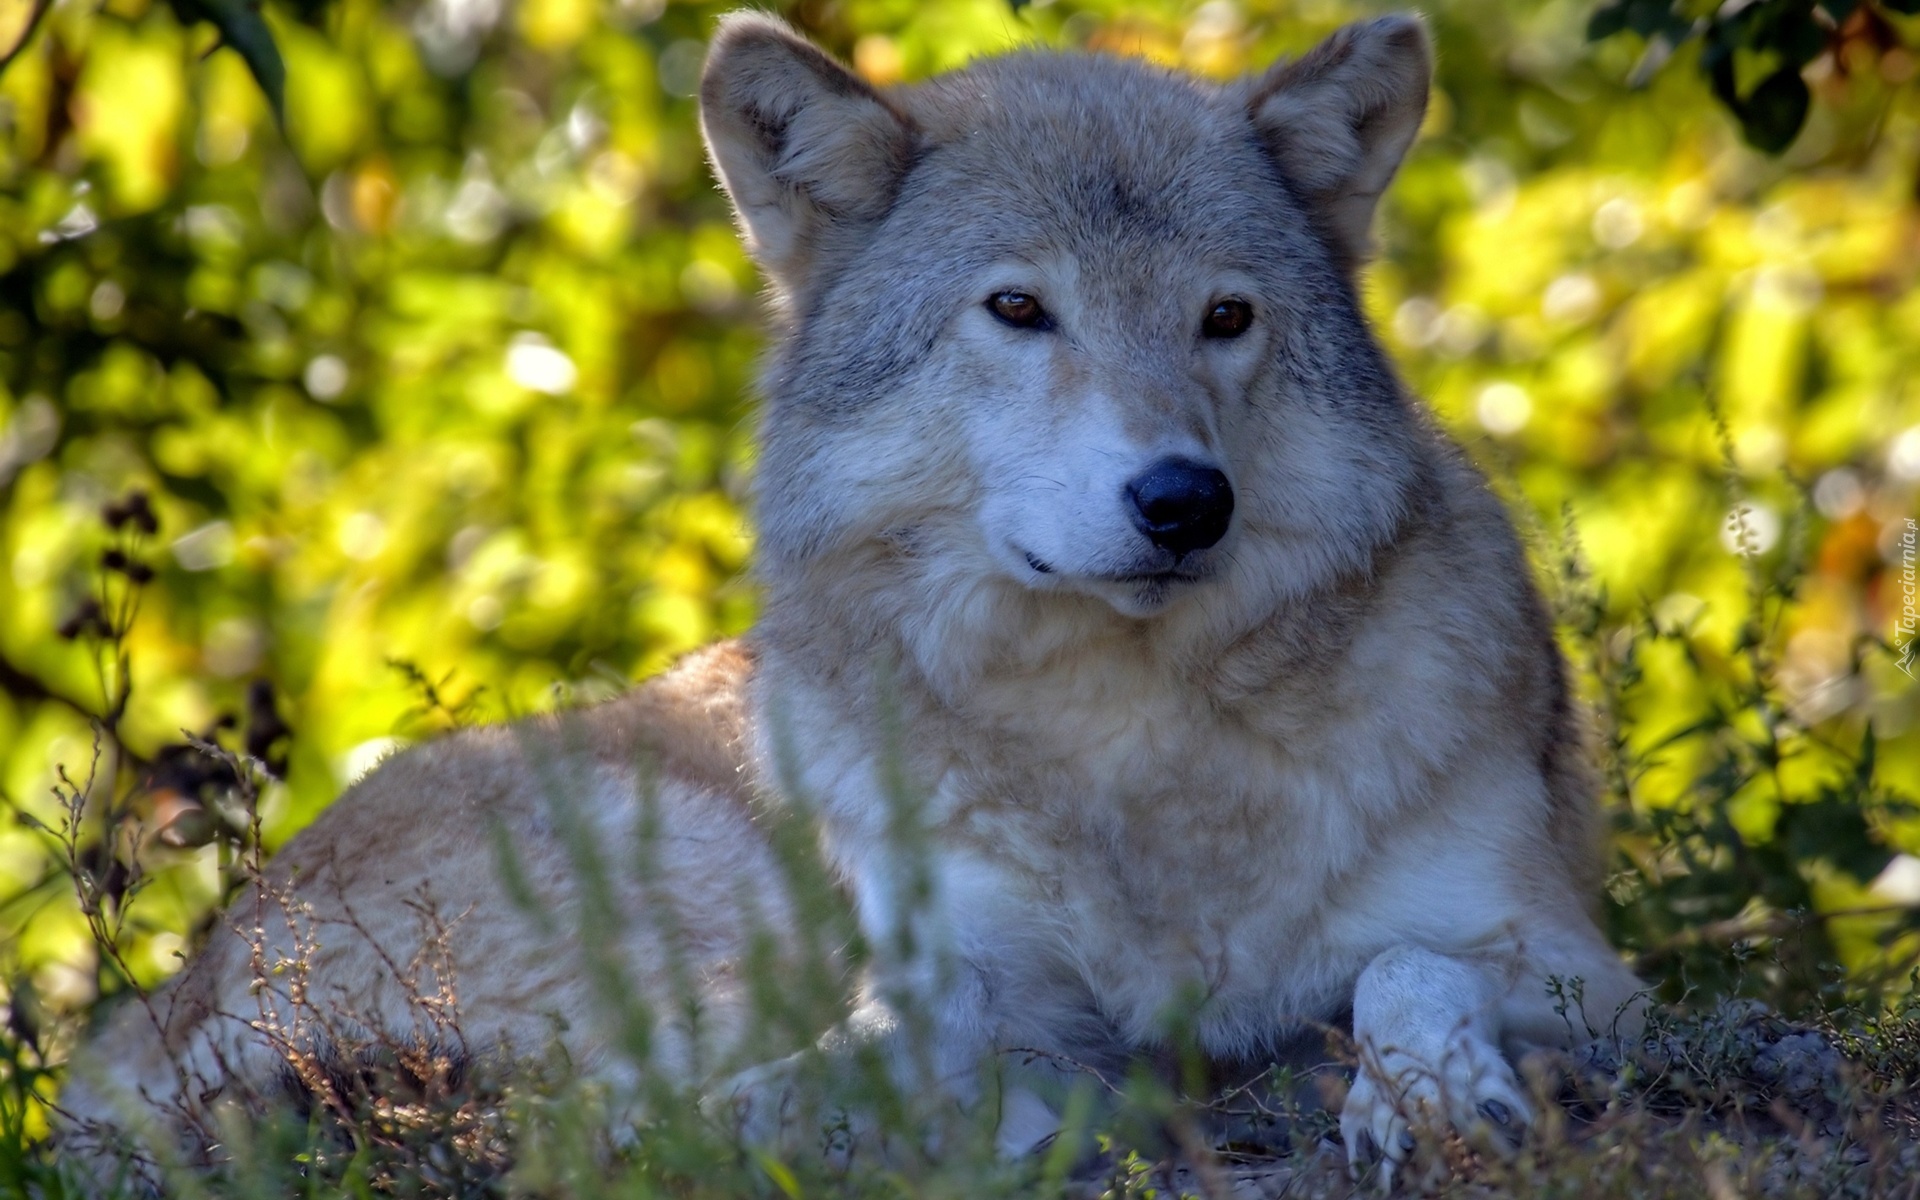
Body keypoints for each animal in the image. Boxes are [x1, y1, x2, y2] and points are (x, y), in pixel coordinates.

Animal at [67, 9, 1643, 1182]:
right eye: (1019, 310)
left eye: (1226, 318)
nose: (1186, 502)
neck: (1133, 751)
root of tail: (156, 1012)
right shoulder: (958, 982)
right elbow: (831, 1074)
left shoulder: (1571, 963)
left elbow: (1404, 972)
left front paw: (1431, 1096)